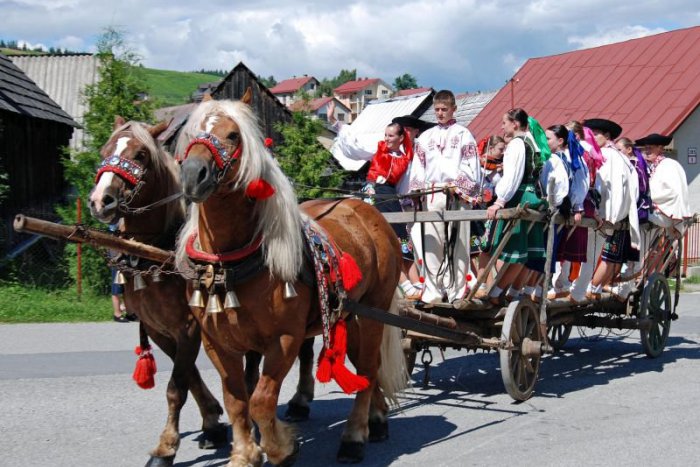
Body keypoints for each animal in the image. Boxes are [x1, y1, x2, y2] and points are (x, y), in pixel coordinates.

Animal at [86, 119, 226, 467]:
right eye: (104, 151)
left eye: (141, 155)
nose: (100, 201)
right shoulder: (158, 328)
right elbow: (187, 375)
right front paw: (212, 422)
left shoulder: (188, 326)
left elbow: (176, 387)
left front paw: (166, 448)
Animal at [174, 93, 410, 466]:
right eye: (193, 131)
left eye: (233, 135)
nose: (193, 174)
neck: (233, 262)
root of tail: (367, 209)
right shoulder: (217, 343)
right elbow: (236, 402)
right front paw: (244, 454)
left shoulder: (284, 339)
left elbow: (260, 401)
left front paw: (281, 448)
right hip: (351, 315)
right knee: (363, 368)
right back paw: (377, 419)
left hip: (375, 310)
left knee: (370, 367)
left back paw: (354, 437)